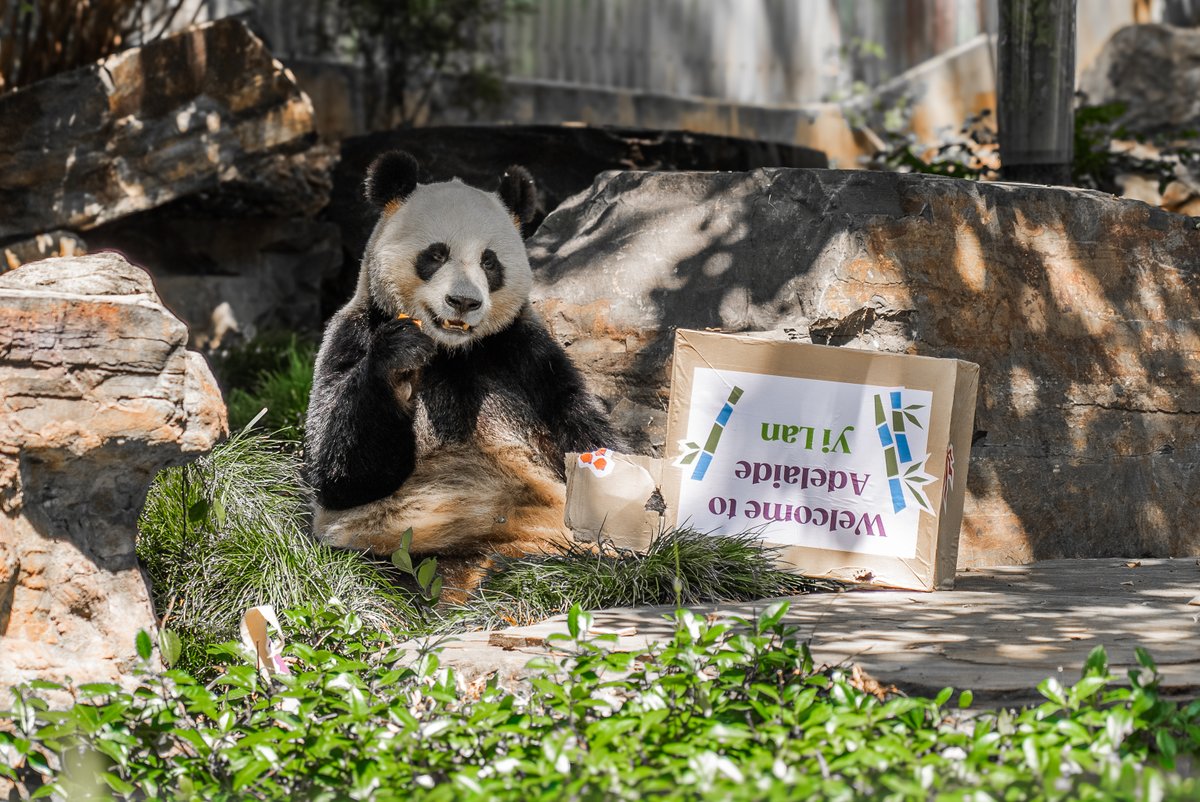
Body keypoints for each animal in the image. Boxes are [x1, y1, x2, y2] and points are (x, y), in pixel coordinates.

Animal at [304, 151, 621, 588]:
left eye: (489, 262)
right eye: (437, 254)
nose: (464, 301)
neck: (451, 352)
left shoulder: (523, 349)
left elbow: (577, 419)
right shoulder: (352, 332)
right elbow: (338, 473)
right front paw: (400, 358)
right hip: (390, 552)